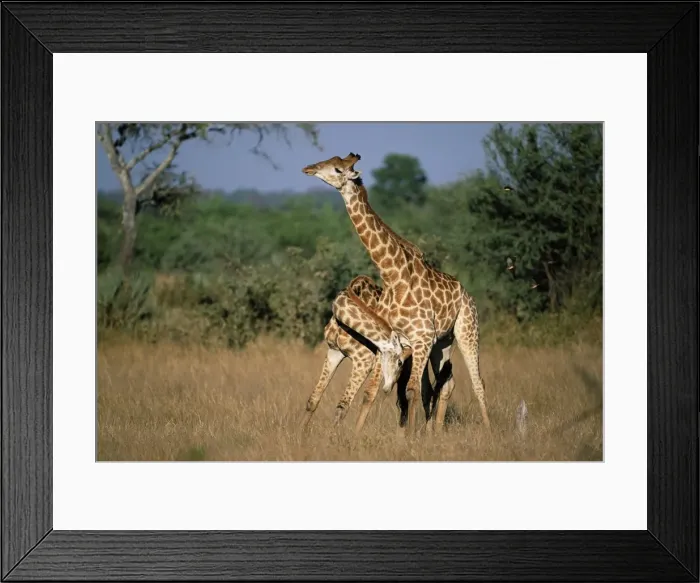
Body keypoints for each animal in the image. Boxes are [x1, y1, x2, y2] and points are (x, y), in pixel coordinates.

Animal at [302, 152, 491, 435]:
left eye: (337, 169)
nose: (309, 168)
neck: (393, 275)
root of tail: (466, 294)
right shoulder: (388, 346)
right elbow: (363, 393)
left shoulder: (405, 344)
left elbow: (405, 392)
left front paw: (407, 437)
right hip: (441, 343)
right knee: (444, 383)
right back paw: (433, 432)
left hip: (466, 330)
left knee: (475, 382)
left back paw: (486, 431)